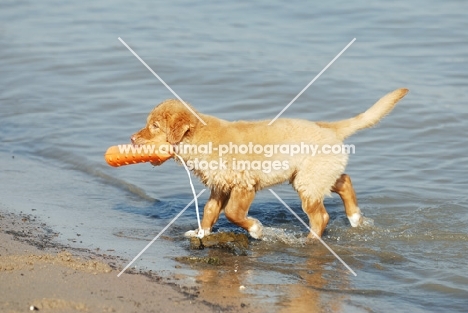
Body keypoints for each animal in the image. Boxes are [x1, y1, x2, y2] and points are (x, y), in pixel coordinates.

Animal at [131, 88, 406, 239]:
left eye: (154, 126)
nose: (132, 139)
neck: (199, 138)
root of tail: (329, 127)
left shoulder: (244, 185)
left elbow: (233, 213)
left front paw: (255, 229)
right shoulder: (220, 186)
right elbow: (210, 211)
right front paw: (201, 233)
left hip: (308, 181)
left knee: (321, 216)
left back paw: (310, 239)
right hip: (312, 175)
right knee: (344, 181)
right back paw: (355, 217)